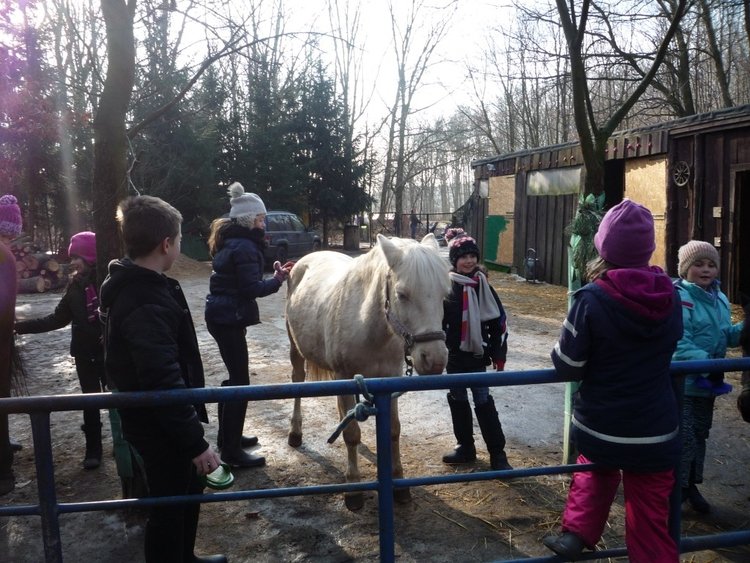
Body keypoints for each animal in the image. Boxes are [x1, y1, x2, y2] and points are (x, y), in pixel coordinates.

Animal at [288, 234, 452, 512]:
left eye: (444, 294)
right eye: (402, 294)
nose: (435, 360)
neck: (369, 326)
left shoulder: (389, 381)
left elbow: (393, 431)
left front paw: (399, 483)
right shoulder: (343, 376)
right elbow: (352, 434)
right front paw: (353, 488)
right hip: (297, 352)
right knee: (297, 383)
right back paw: (295, 433)